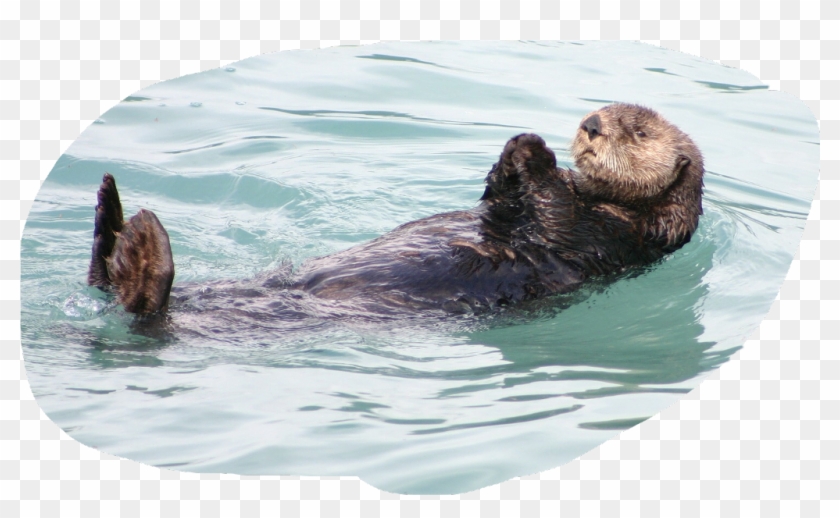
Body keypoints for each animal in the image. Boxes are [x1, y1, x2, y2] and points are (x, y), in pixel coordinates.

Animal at [87, 103, 704, 318]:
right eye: (600, 110)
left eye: (639, 131)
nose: (590, 124)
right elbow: (500, 202)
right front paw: (515, 152)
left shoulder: (617, 237)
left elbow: (556, 216)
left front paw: (533, 152)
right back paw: (111, 220)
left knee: (148, 311)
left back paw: (138, 248)